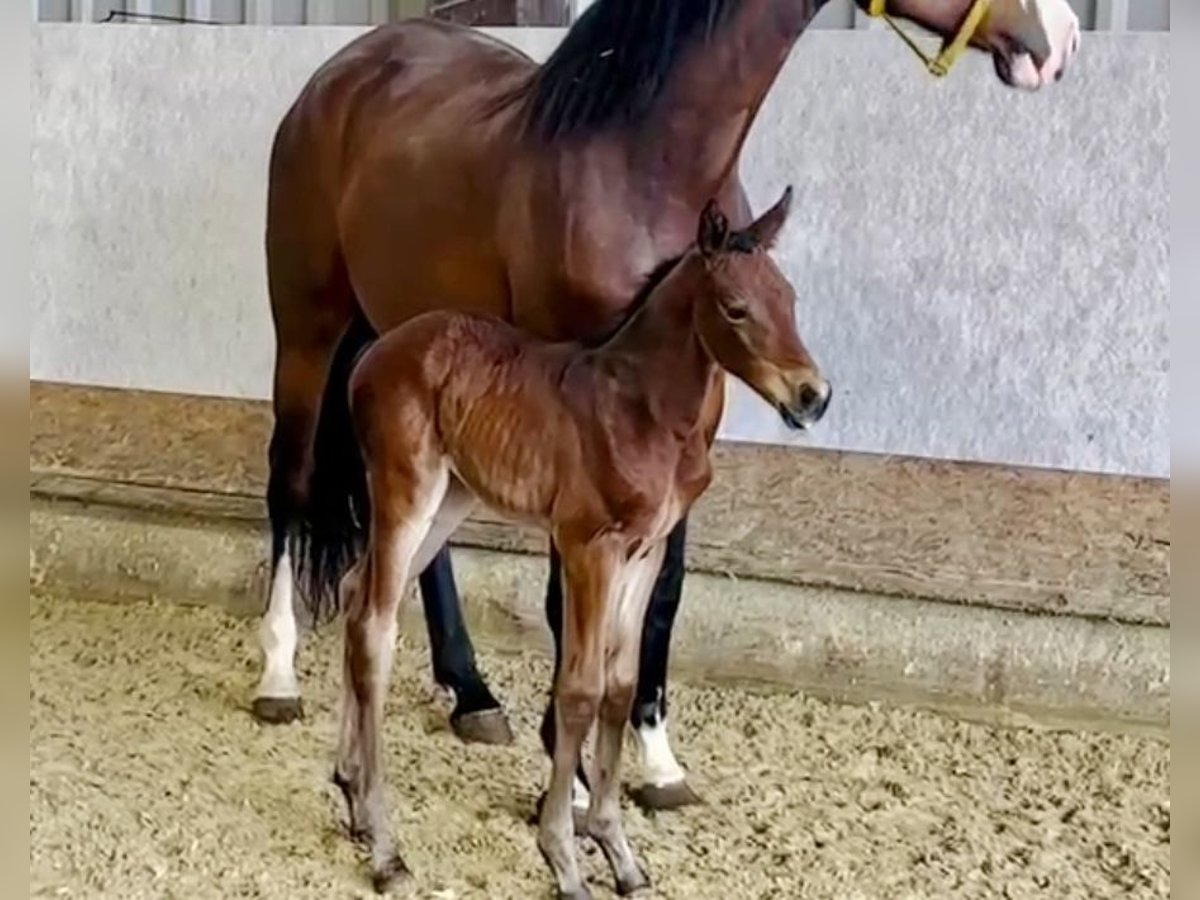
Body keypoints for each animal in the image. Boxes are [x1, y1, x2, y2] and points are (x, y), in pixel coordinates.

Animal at [258, 0, 1084, 816]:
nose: (1061, 39)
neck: (641, 158)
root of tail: (346, 71)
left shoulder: (684, 420)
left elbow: (664, 594)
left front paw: (654, 761)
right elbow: (567, 596)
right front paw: (572, 772)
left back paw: (472, 693)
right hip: (308, 331)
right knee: (291, 485)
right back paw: (279, 675)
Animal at [319, 188, 825, 897]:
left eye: (790, 298)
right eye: (736, 307)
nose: (813, 397)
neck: (642, 411)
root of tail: (373, 352)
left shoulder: (647, 550)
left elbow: (620, 685)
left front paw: (620, 854)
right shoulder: (590, 545)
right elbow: (580, 690)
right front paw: (562, 855)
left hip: (451, 499)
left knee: (353, 590)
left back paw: (354, 799)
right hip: (405, 491)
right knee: (373, 623)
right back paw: (387, 850)